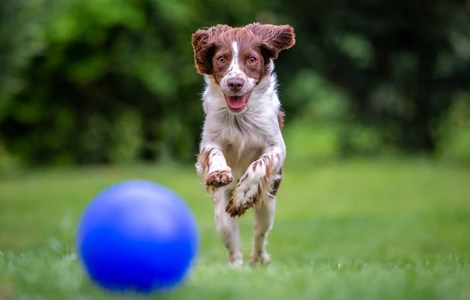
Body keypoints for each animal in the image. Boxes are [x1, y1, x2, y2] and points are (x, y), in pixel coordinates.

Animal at [190, 24, 294, 268]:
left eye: (252, 59)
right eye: (221, 59)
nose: (235, 83)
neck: (240, 117)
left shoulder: (276, 147)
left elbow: (258, 165)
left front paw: (242, 197)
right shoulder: (209, 140)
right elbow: (214, 152)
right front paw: (219, 173)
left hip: (268, 205)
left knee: (260, 233)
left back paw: (259, 259)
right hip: (221, 217)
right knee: (232, 244)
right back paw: (236, 268)